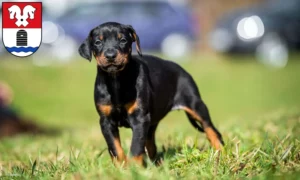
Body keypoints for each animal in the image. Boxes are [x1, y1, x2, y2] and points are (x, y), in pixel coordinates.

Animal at [78, 22, 224, 166]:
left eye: (123, 40)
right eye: (98, 42)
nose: (110, 55)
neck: (116, 79)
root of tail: (182, 69)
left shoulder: (140, 118)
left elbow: (136, 146)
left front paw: (134, 168)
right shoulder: (106, 121)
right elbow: (114, 146)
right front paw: (121, 166)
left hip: (195, 104)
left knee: (211, 130)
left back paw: (221, 154)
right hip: (152, 122)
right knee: (151, 144)